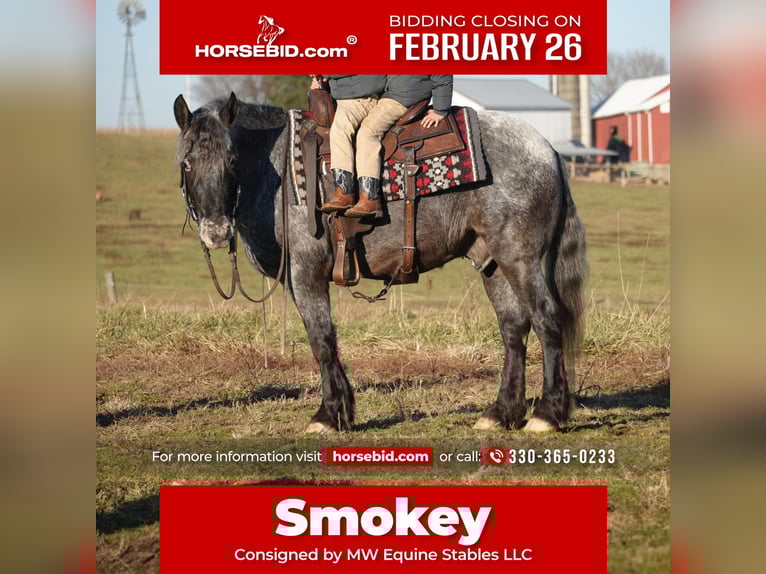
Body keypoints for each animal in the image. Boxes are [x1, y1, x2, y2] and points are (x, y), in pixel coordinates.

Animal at [173, 92, 588, 434]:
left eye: (231, 161)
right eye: (187, 163)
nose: (216, 230)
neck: (280, 173)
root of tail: (547, 150)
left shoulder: (305, 273)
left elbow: (321, 338)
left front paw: (328, 415)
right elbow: (327, 339)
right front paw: (342, 411)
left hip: (520, 259)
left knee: (547, 319)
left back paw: (547, 414)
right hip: (494, 263)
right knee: (514, 329)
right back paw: (501, 413)